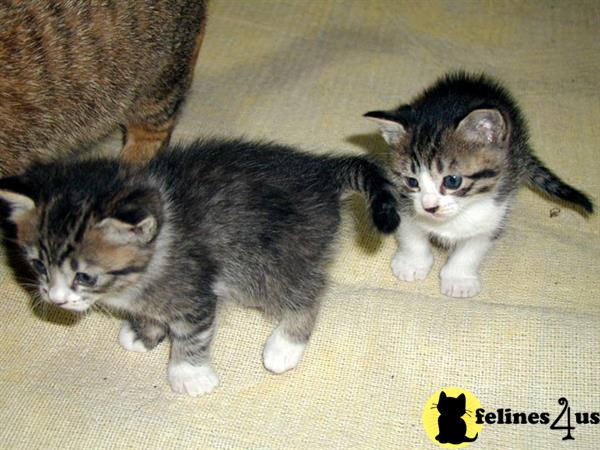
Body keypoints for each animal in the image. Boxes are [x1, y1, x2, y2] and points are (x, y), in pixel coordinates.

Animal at [1, 139, 404, 396]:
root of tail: (321, 172)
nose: (55, 299)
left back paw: (284, 347)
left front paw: (188, 375)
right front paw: (144, 333)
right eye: (38, 265)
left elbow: (191, 335)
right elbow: (149, 314)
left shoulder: (195, 291)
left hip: (273, 260)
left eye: (84, 276)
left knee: (307, 293)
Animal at [364, 73, 592, 298]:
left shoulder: (496, 210)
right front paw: (412, 263)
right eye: (412, 181)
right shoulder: (401, 198)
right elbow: (411, 233)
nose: (430, 207)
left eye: (452, 181)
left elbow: (473, 248)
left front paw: (458, 279)